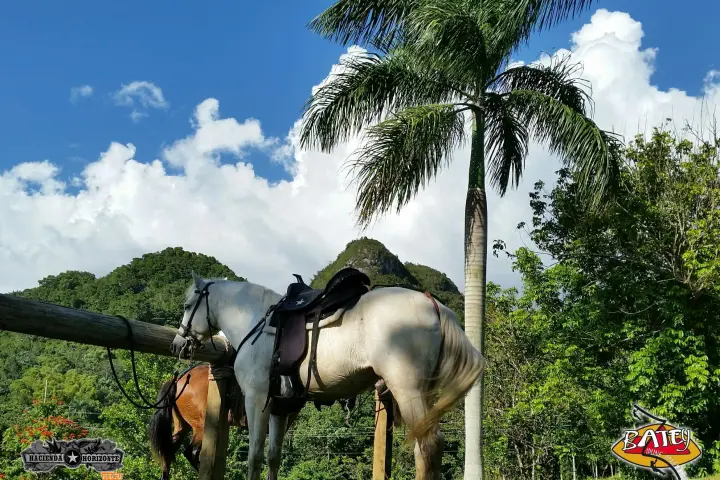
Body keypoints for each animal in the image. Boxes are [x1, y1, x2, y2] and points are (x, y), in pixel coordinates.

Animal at [170, 271, 484, 480]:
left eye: (187, 306)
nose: (178, 343)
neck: (255, 321)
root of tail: (433, 304)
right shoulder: (280, 408)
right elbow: (273, 457)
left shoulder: (257, 399)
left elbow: (254, 456)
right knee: (425, 449)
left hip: (408, 390)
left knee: (429, 446)